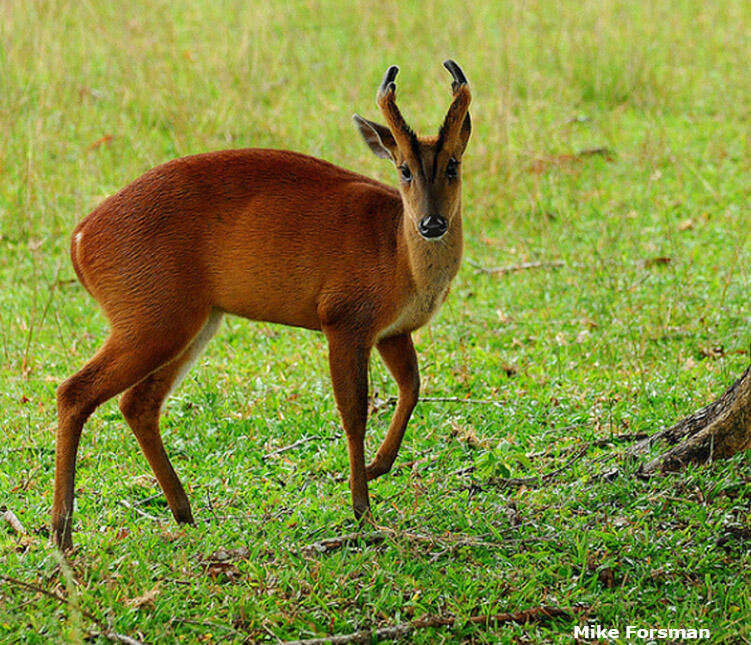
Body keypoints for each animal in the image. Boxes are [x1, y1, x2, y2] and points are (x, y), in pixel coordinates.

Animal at [53, 59, 472, 548]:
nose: (432, 223)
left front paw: (376, 468)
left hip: (192, 322)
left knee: (137, 403)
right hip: (150, 319)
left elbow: (411, 388)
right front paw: (362, 509)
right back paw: (62, 532)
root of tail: (80, 240)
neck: (397, 253)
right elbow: (354, 412)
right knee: (74, 391)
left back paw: (184, 512)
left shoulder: (392, 331)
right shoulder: (343, 319)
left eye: (453, 165)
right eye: (404, 170)